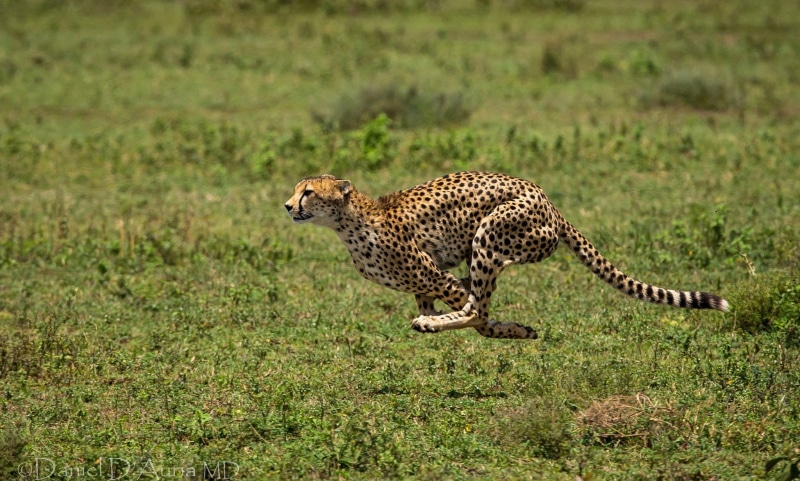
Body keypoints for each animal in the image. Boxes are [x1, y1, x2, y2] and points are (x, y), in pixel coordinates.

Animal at [284, 171, 729, 340]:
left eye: (308, 192)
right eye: (296, 189)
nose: (287, 206)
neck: (347, 223)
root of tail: (548, 200)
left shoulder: (437, 276)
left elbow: (476, 312)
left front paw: (500, 327)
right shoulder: (424, 284)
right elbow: (465, 306)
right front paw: (517, 329)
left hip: (490, 235)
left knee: (477, 307)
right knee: (478, 302)